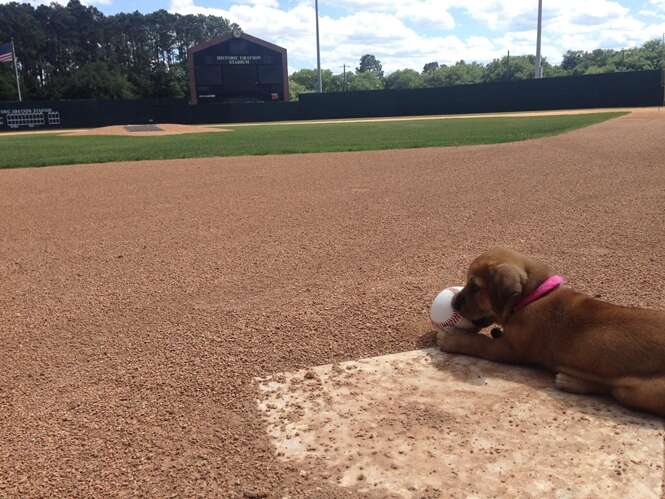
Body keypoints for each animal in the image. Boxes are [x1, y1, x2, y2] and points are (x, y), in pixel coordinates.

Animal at [436, 249, 664, 418]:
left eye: (475, 287)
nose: (453, 303)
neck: (534, 296)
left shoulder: (509, 350)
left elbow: (477, 342)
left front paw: (451, 338)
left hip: (641, 391)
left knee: (612, 389)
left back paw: (571, 381)